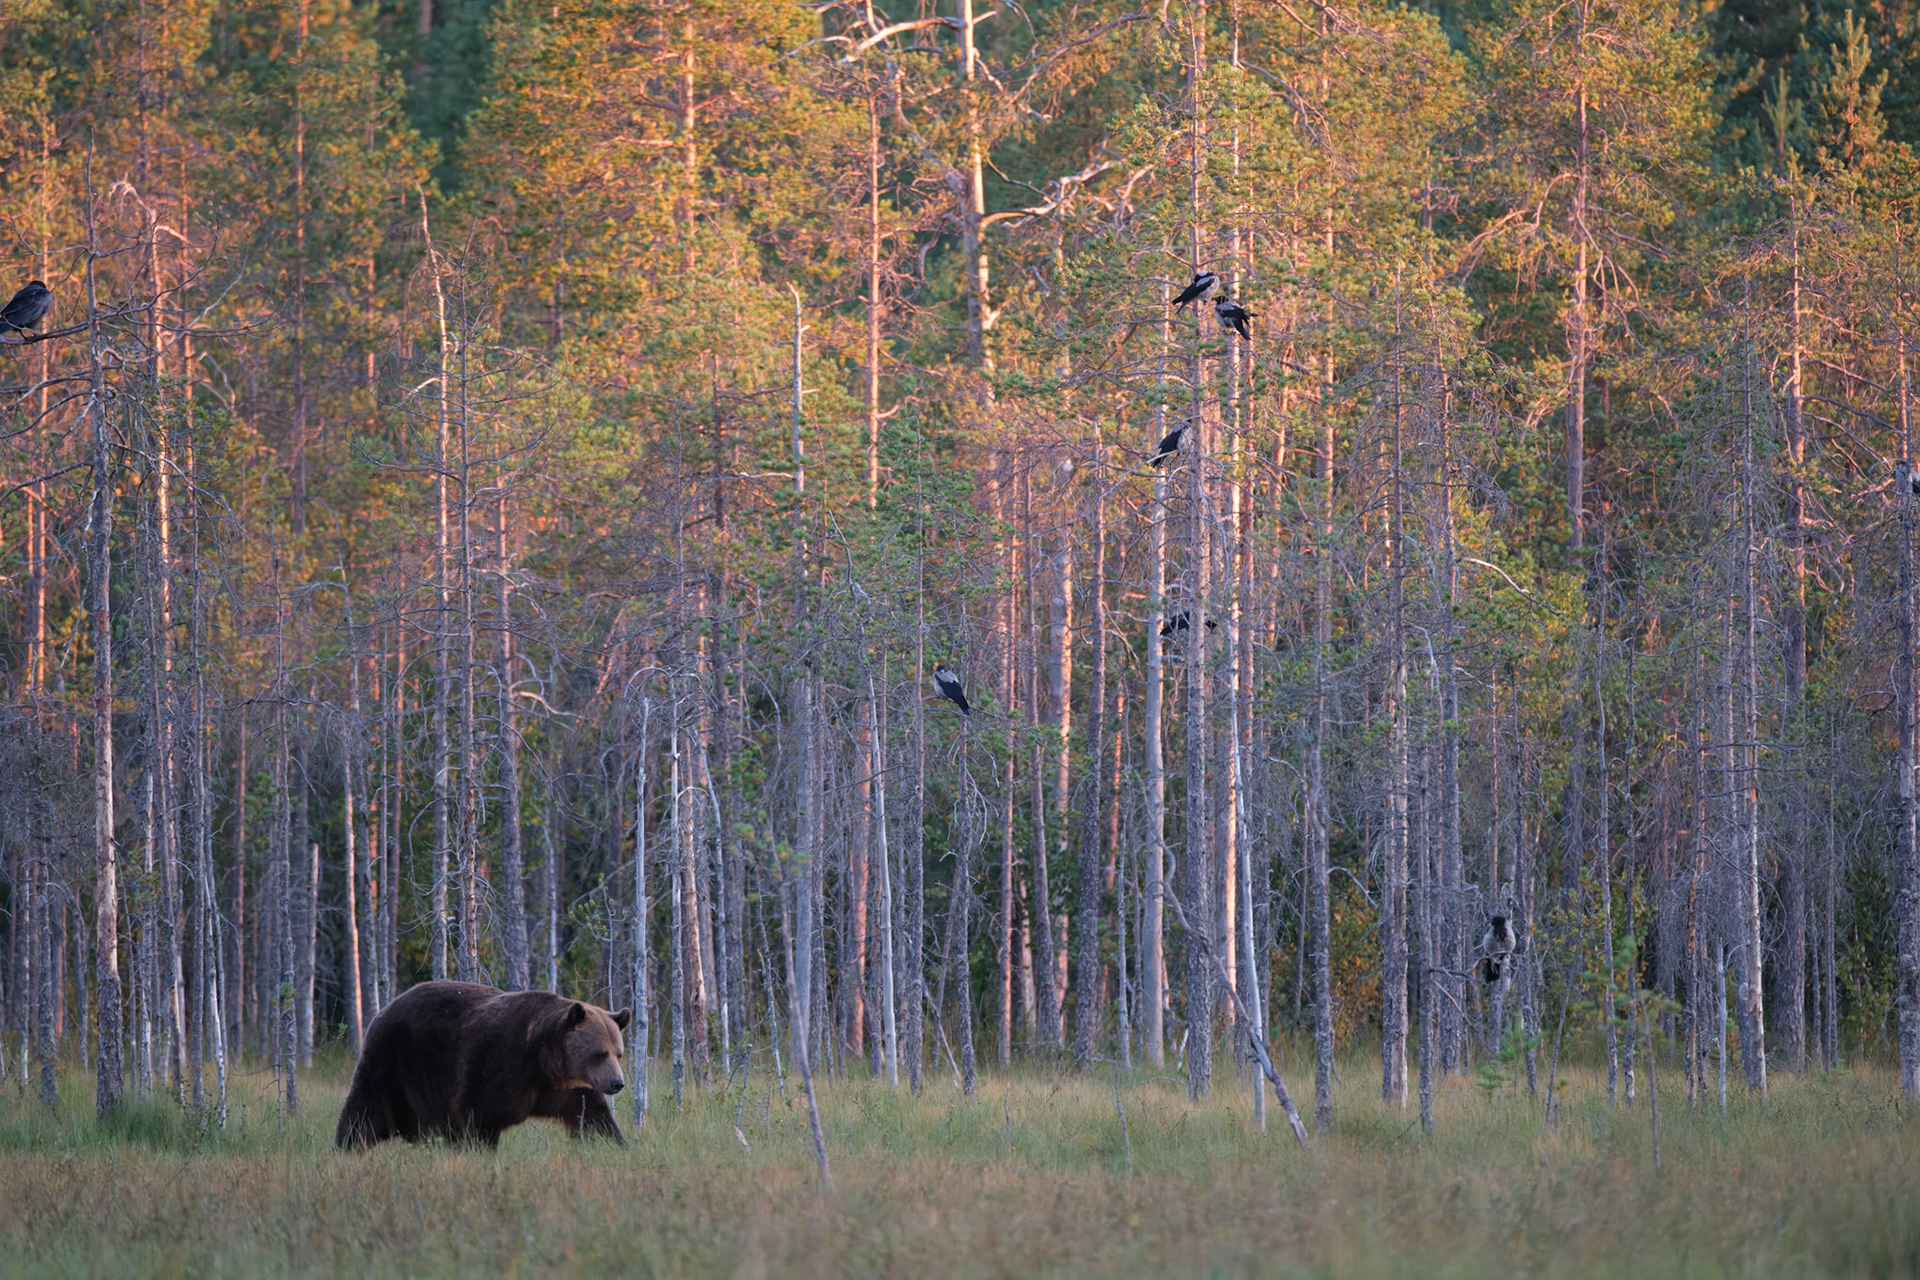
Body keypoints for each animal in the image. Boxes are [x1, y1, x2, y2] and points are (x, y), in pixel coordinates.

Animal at [334, 980, 633, 1150]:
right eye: (599, 1053)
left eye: (618, 1053)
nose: (617, 1083)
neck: (545, 1061)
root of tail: (384, 1009)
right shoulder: (499, 1064)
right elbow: (481, 1116)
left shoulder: (568, 1087)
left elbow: (592, 1117)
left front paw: (616, 1146)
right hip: (393, 1059)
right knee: (366, 1110)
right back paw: (346, 1147)